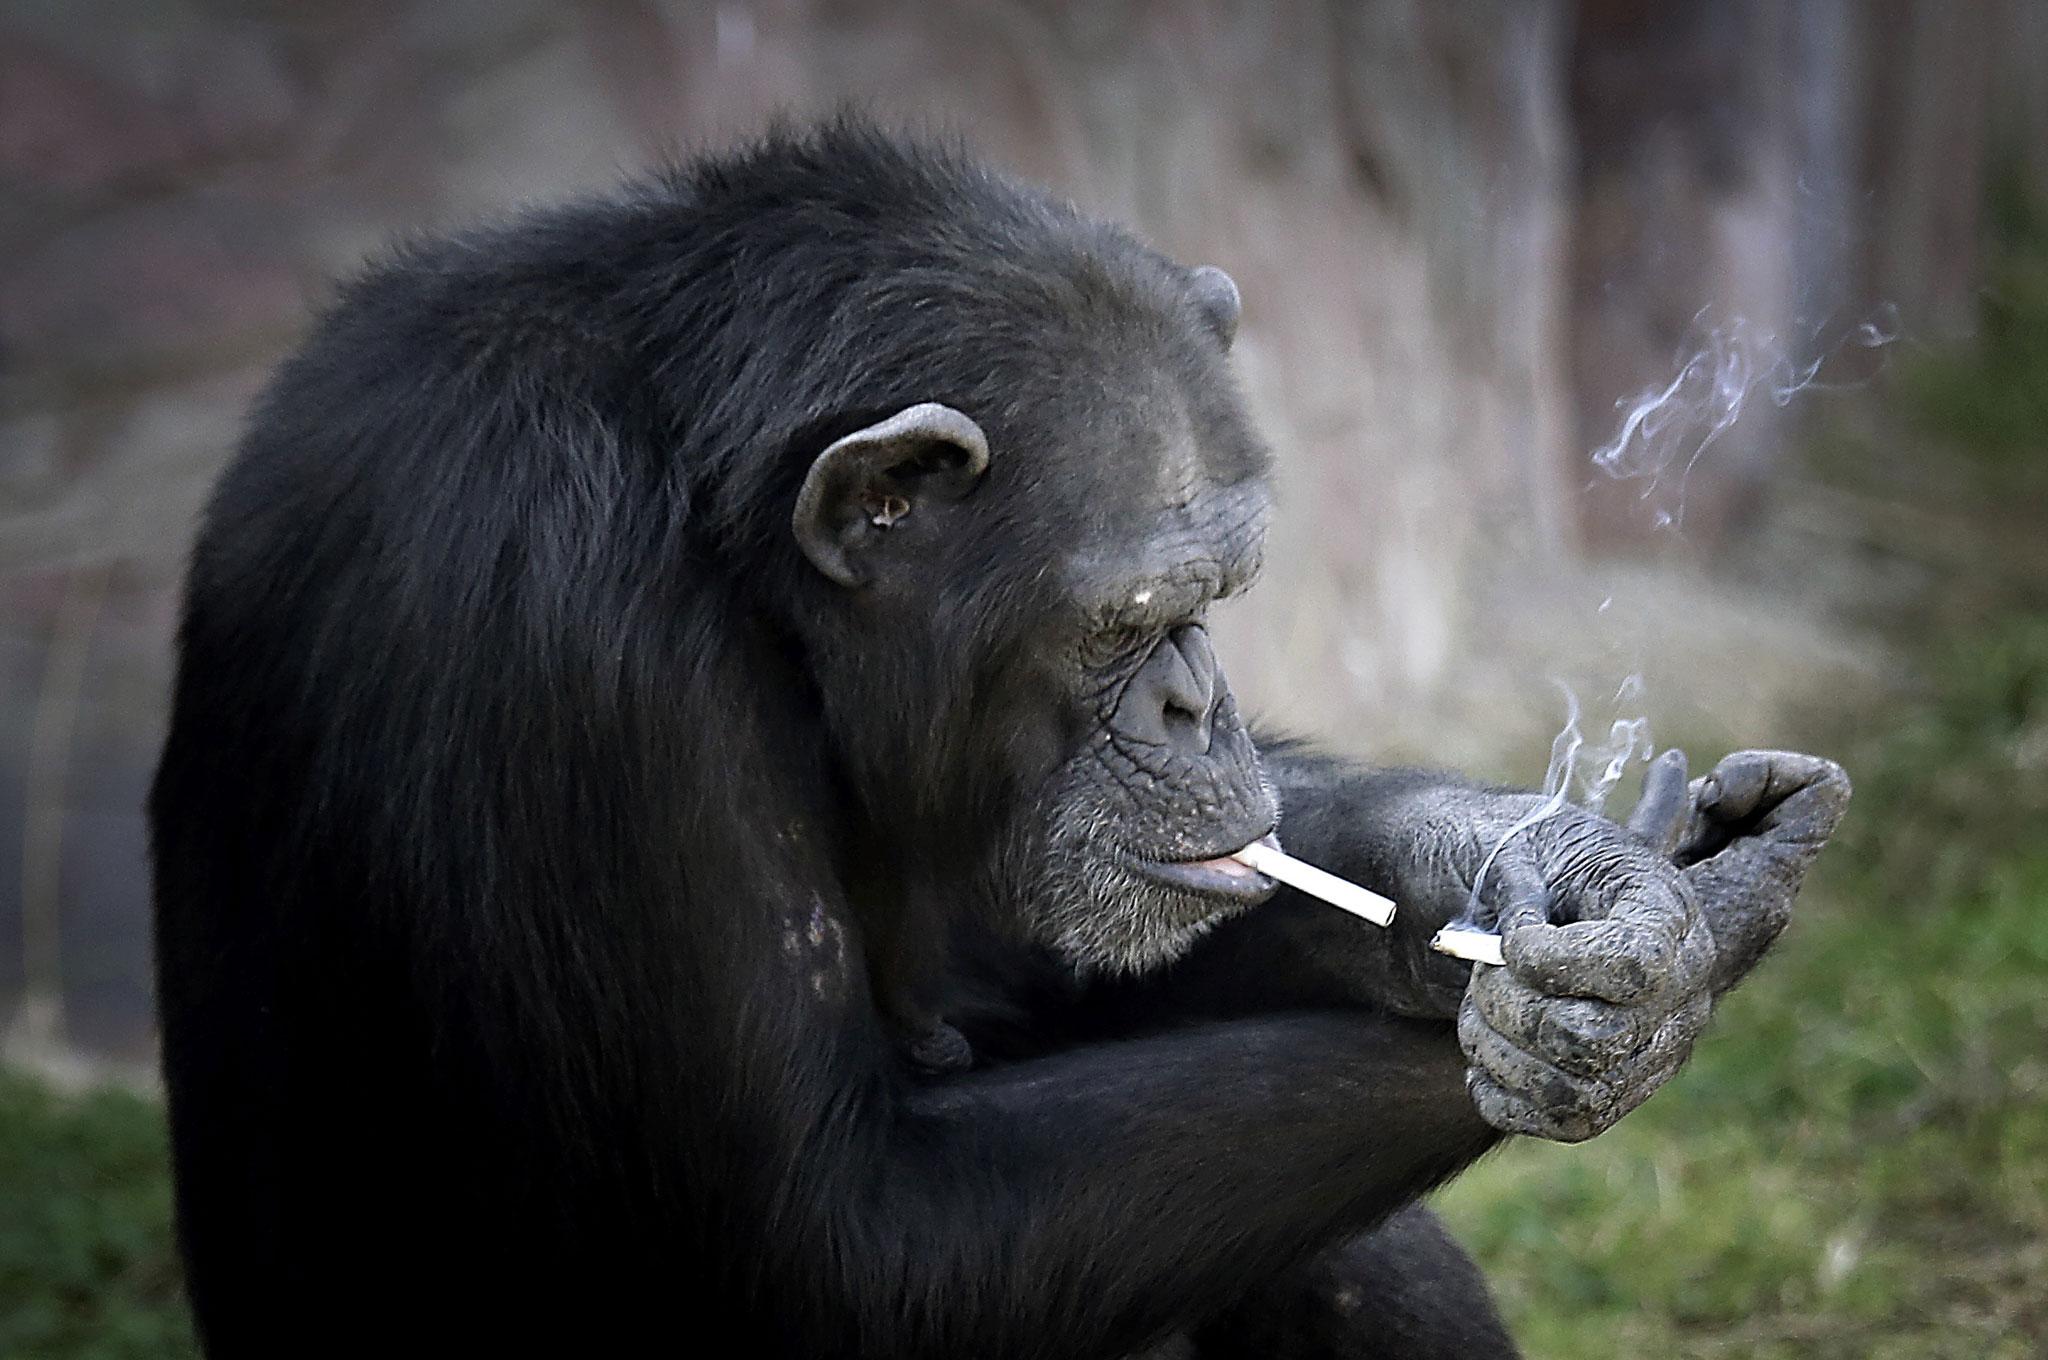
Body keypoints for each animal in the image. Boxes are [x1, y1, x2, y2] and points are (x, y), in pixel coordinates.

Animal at [151, 122, 1851, 1351]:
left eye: (1222, 594)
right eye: (1123, 620)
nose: (1197, 701)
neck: (721, 529)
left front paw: (1577, 894)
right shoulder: (562, 632)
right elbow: (844, 1238)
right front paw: (1689, 943)